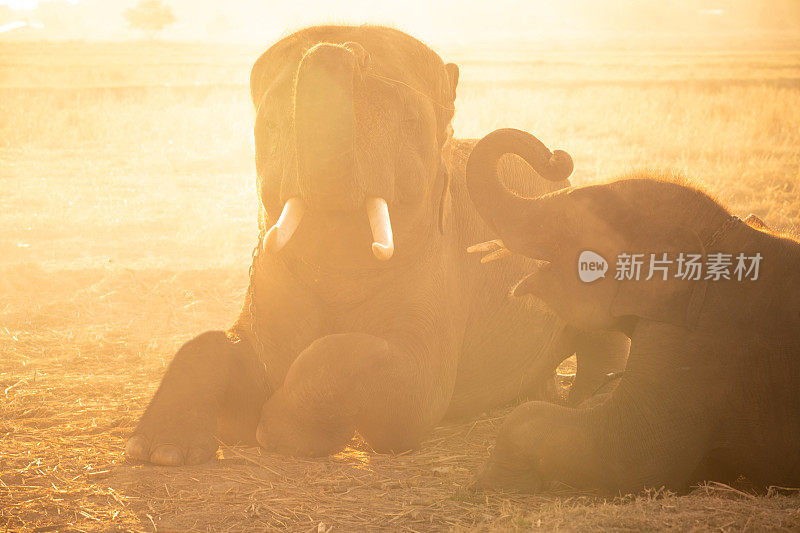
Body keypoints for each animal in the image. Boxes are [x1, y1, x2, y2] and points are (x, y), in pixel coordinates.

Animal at [125, 27, 628, 464]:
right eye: (270, 125)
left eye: (410, 122)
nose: (348, 48)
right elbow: (221, 345)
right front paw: (161, 453)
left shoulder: (442, 269)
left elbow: (411, 390)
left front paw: (281, 433)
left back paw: (585, 396)